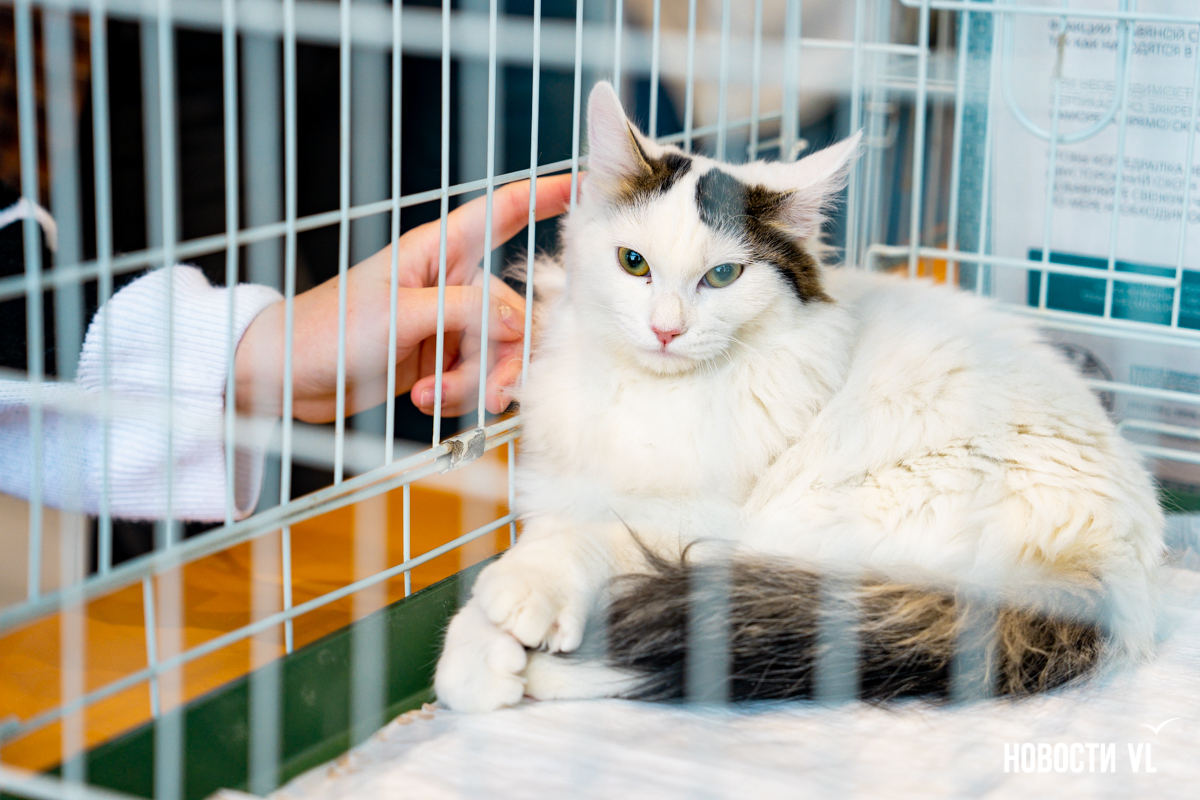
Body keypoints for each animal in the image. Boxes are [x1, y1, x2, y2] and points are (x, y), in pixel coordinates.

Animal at [433, 81, 1165, 712]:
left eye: (723, 276)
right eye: (632, 263)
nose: (666, 330)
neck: (657, 394)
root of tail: (1118, 574)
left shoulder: (696, 516)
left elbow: (589, 540)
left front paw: (514, 608)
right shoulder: (566, 480)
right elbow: (553, 531)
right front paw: (477, 658)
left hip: (810, 534)